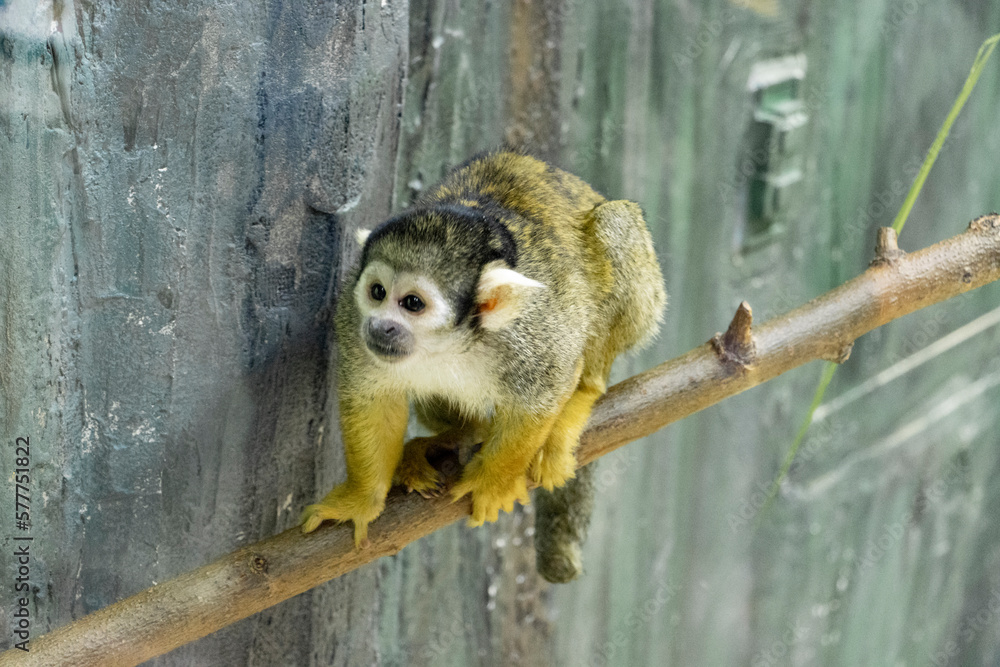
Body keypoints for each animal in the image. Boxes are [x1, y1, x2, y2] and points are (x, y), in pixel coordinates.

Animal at [301, 149, 665, 582]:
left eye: (412, 303)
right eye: (377, 292)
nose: (379, 326)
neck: (452, 342)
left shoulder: (531, 334)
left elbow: (546, 389)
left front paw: (493, 483)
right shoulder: (350, 319)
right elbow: (373, 401)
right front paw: (361, 499)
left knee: (615, 227)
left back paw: (581, 399)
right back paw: (460, 433)